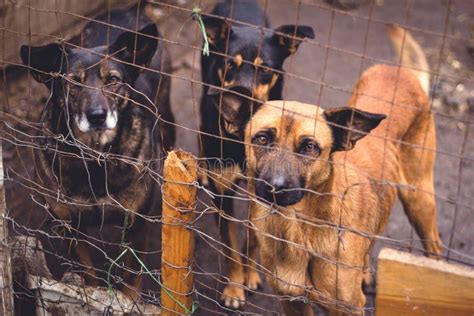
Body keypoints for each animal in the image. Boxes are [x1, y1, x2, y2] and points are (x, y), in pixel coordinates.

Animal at [20, 6, 172, 298]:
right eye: (72, 82)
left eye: (112, 80)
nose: (97, 116)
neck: (95, 158)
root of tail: (127, 9)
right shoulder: (70, 226)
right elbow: (87, 272)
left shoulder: (135, 225)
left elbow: (130, 278)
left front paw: (127, 300)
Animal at [199, 0, 314, 308]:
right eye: (229, 63)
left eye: (265, 70)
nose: (241, 97)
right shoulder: (223, 191)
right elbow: (229, 246)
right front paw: (233, 289)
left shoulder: (263, 191)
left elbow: (252, 237)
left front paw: (249, 276)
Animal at [244, 27, 444, 314]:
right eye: (261, 139)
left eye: (310, 147)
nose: (276, 187)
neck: (298, 229)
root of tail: (400, 71)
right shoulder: (290, 299)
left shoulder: (347, 307)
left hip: (419, 200)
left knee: (434, 248)